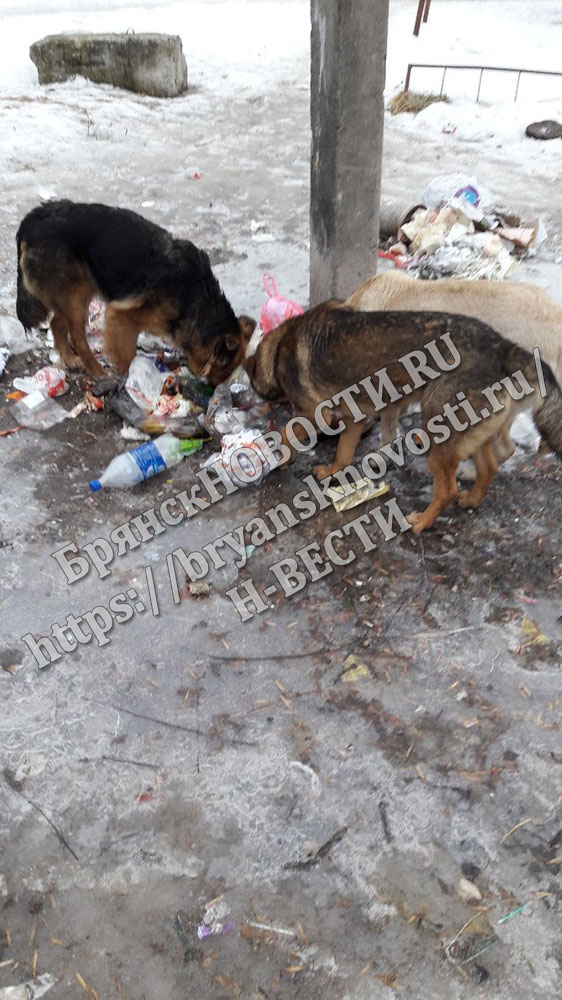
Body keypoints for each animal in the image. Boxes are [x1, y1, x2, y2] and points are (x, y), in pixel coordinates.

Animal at [15, 199, 254, 382]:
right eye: (224, 371)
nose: (213, 389)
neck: (197, 299)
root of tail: (33, 218)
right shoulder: (121, 316)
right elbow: (127, 355)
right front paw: (126, 377)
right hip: (75, 297)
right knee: (79, 339)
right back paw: (98, 372)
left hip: (80, 290)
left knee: (56, 323)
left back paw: (70, 359)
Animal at [244, 304, 560, 536]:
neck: (279, 348)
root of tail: (503, 347)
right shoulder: (354, 416)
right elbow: (344, 452)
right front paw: (334, 469)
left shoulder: (315, 414)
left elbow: (286, 433)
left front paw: (281, 457)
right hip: (470, 432)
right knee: (489, 467)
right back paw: (471, 499)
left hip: (438, 432)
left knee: (447, 489)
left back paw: (422, 522)